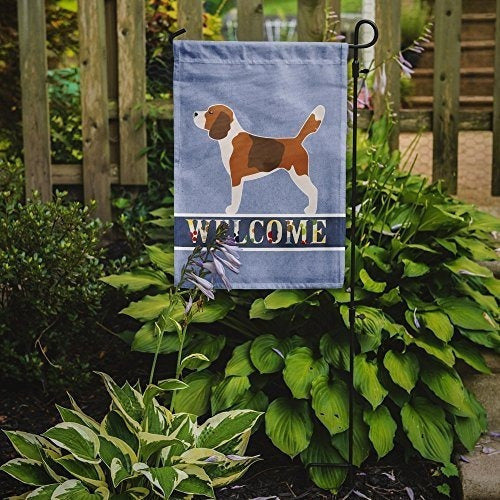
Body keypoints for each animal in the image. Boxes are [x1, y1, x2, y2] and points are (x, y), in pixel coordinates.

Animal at [191, 104, 324, 214]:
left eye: (211, 112)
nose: (195, 113)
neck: (230, 137)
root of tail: (296, 140)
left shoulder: (236, 178)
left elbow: (235, 197)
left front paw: (232, 210)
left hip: (299, 173)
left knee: (314, 190)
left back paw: (311, 211)